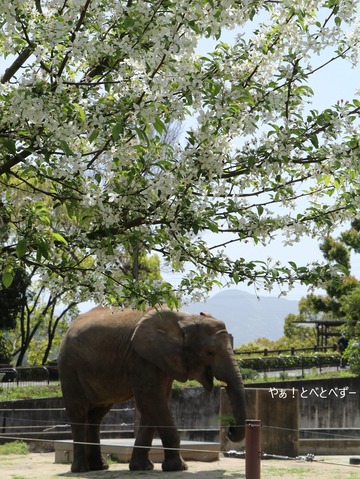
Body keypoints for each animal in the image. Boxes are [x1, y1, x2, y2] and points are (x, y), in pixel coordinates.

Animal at [57, 308, 248, 472]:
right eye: (210, 352)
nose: (230, 428)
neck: (184, 318)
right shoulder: (142, 359)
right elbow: (152, 401)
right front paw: (179, 468)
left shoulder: (161, 361)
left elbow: (154, 405)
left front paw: (142, 467)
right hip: (69, 367)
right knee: (79, 412)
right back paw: (81, 469)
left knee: (96, 415)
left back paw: (100, 467)